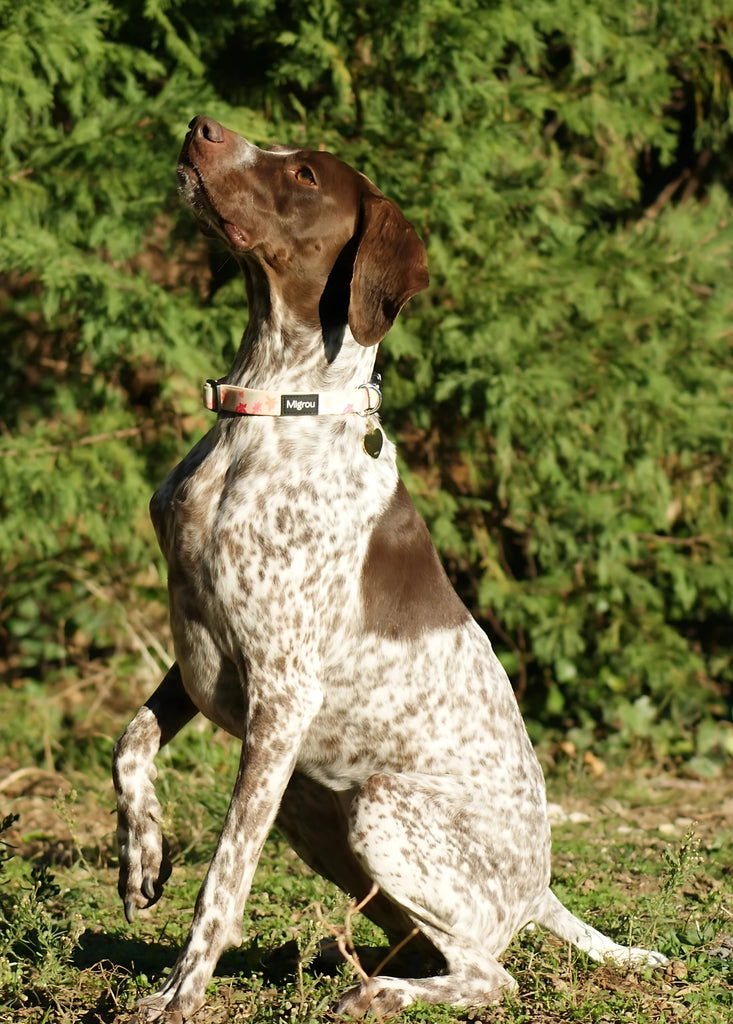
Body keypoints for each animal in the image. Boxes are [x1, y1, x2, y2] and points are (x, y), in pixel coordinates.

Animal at [111, 116, 667, 1019]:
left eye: (303, 174)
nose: (201, 125)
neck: (267, 411)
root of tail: (540, 889)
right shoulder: (202, 651)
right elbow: (129, 743)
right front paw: (141, 861)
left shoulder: (282, 690)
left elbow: (224, 877)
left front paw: (178, 994)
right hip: (313, 808)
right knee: (429, 943)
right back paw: (356, 969)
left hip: (374, 806)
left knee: (491, 974)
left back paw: (382, 994)